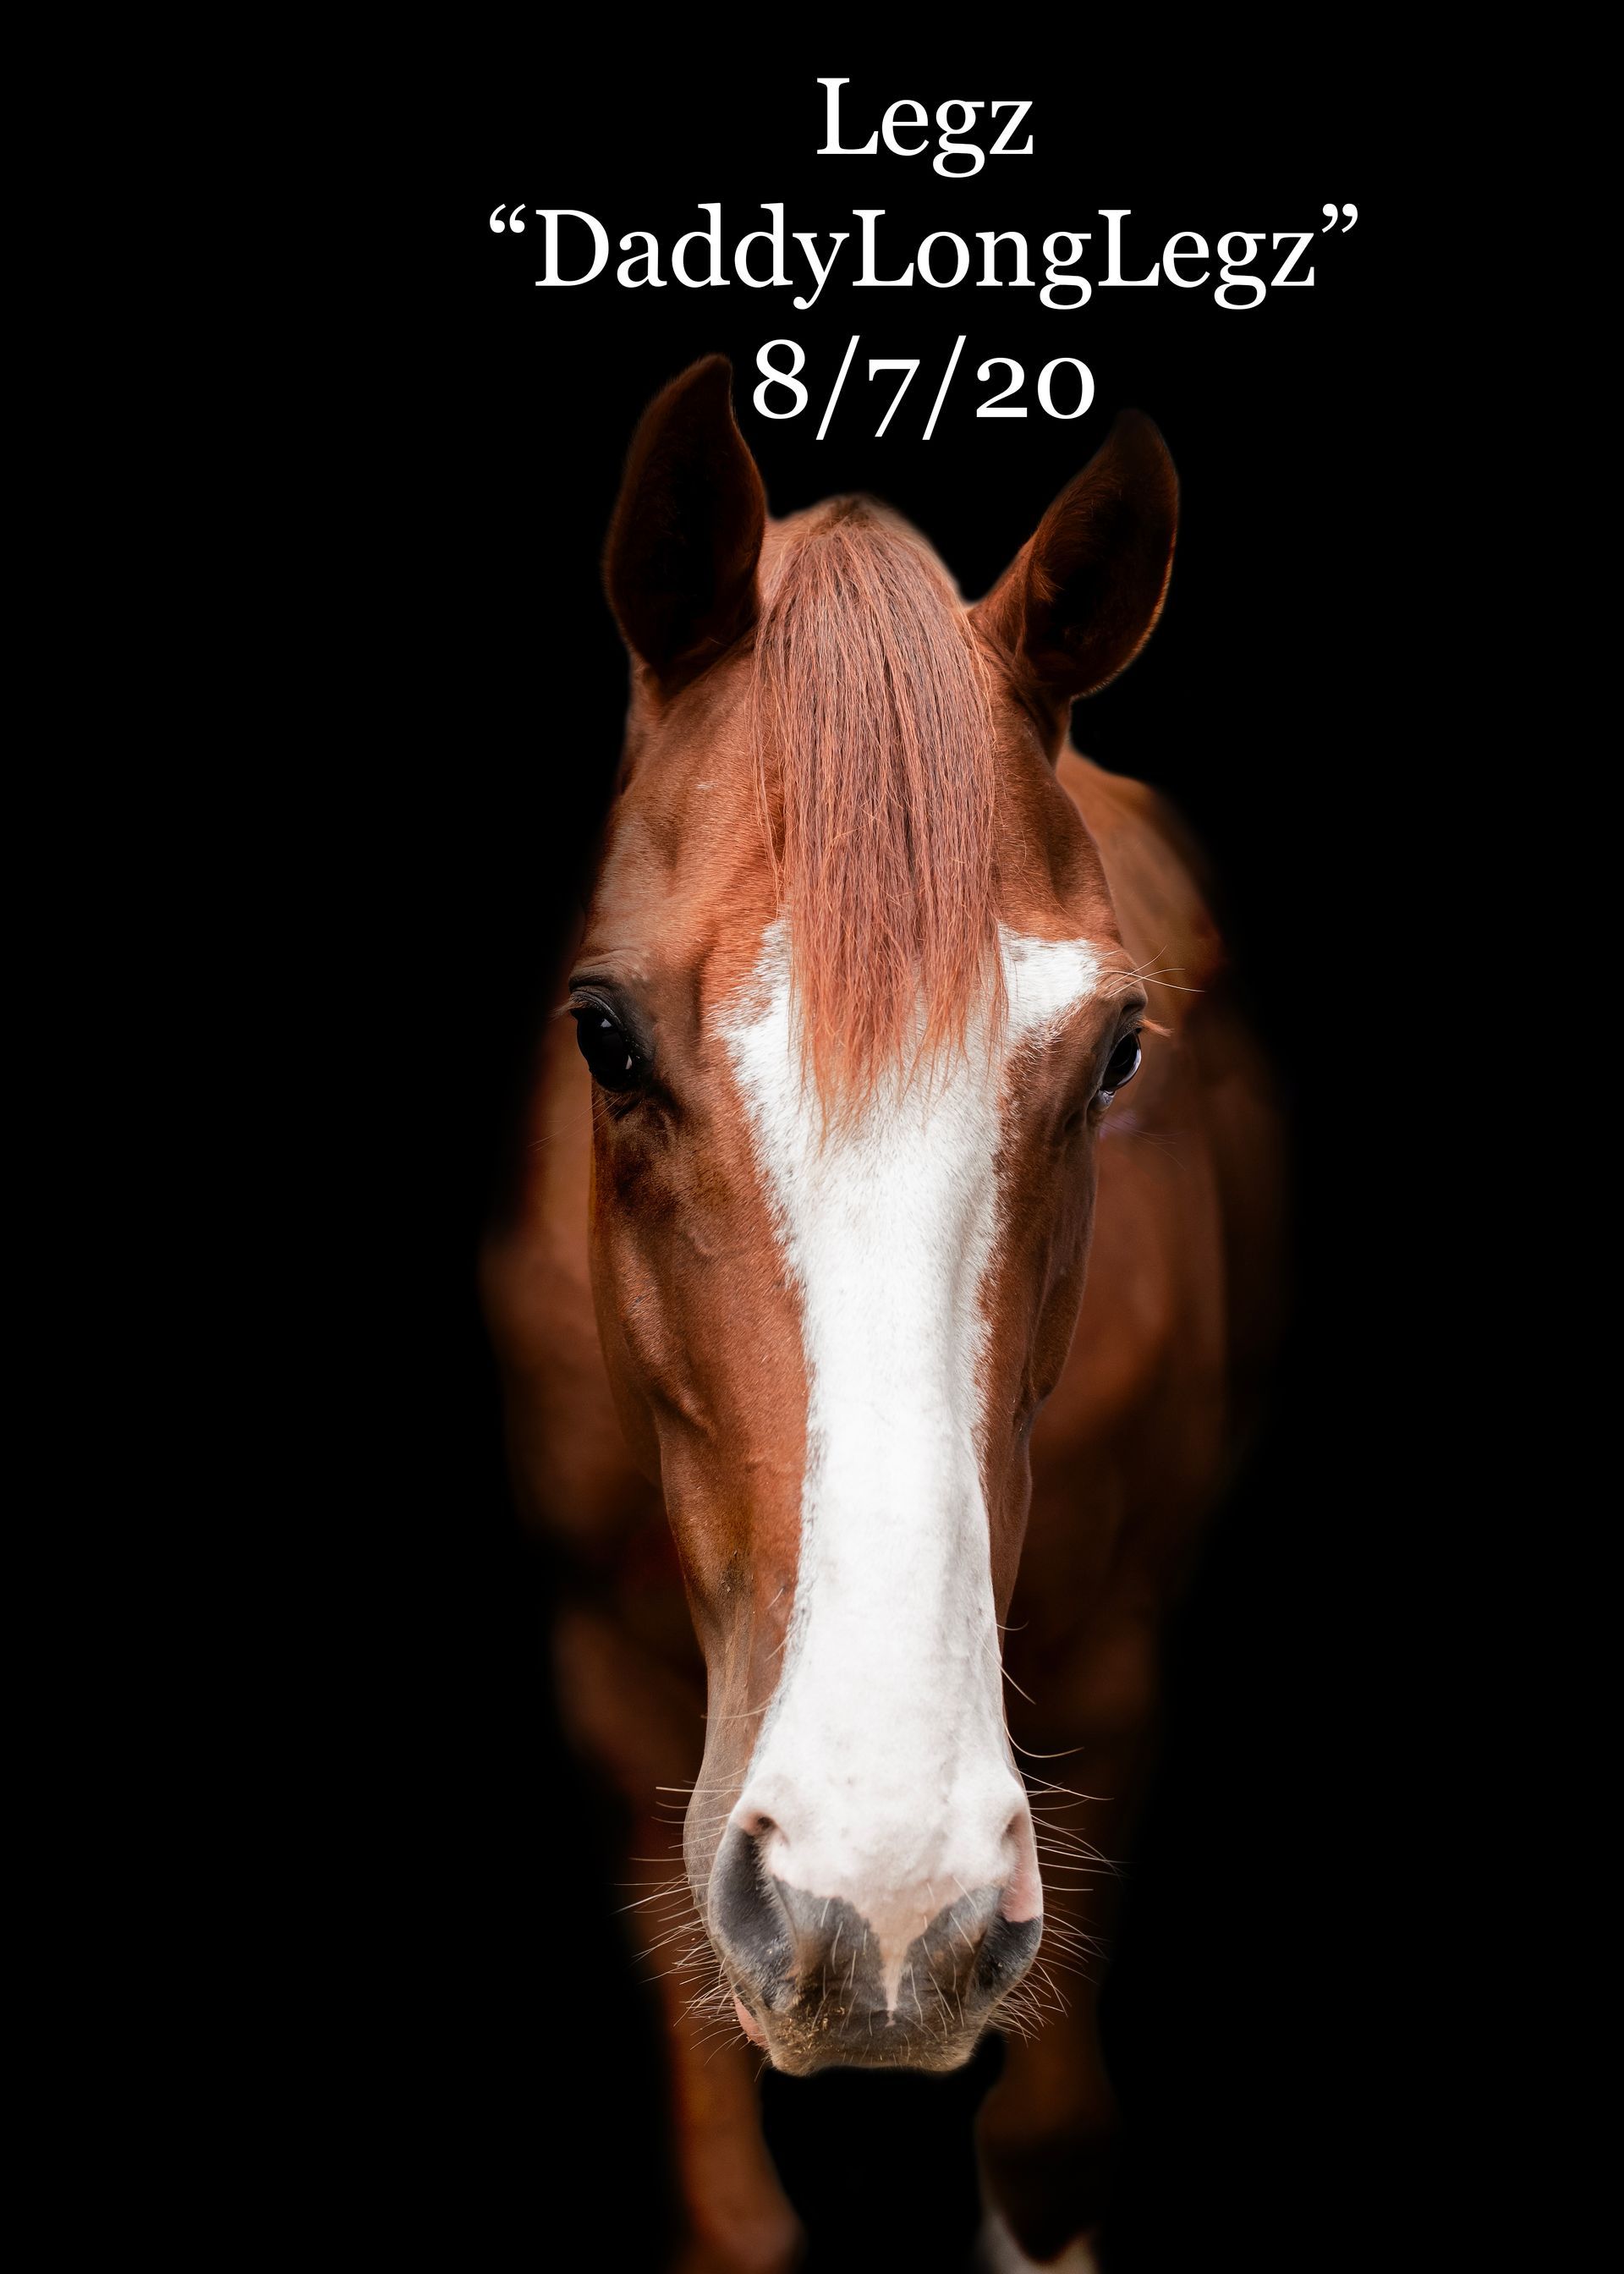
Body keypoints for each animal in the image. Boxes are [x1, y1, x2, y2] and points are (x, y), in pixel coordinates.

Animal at [482, 355, 1284, 2271]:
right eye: (604, 1034)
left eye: (1118, 1053)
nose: (885, 1906)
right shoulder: (606, 1689)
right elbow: (734, 2210)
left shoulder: (1116, 1663)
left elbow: (1052, 2153)